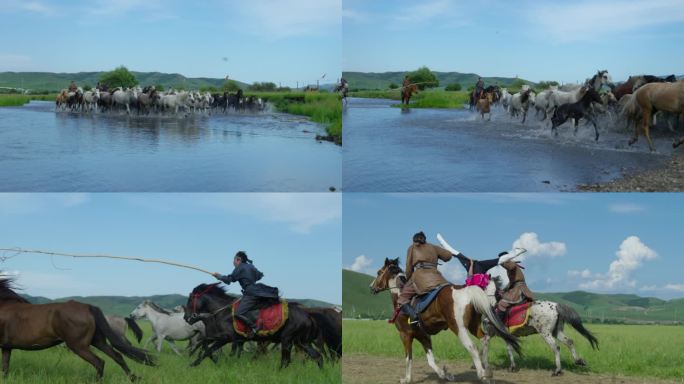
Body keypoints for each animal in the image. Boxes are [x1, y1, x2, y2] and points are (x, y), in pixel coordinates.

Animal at [0, 276, 154, 380]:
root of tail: (88, 307)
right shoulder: (7, 347)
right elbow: (5, 368)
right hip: (98, 342)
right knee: (117, 356)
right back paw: (133, 378)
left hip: (78, 346)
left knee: (99, 362)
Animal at [182, 282, 324, 368]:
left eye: (190, 300)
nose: (186, 317)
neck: (223, 310)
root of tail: (308, 316)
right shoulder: (222, 337)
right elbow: (205, 344)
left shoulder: (226, 338)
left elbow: (208, 348)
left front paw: (193, 364)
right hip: (301, 341)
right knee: (317, 356)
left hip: (287, 340)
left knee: (286, 361)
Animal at [368, 258, 520, 384]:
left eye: (379, 272)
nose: (371, 287)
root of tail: (468, 291)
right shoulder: (424, 336)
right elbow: (430, 360)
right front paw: (445, 375)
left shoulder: (405, 335)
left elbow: (408, 358)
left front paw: (407, 379)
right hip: (473, 326)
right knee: (485, 339)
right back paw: (487, 372)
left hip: (459, 328)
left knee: (472, 347)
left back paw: (482, 374)